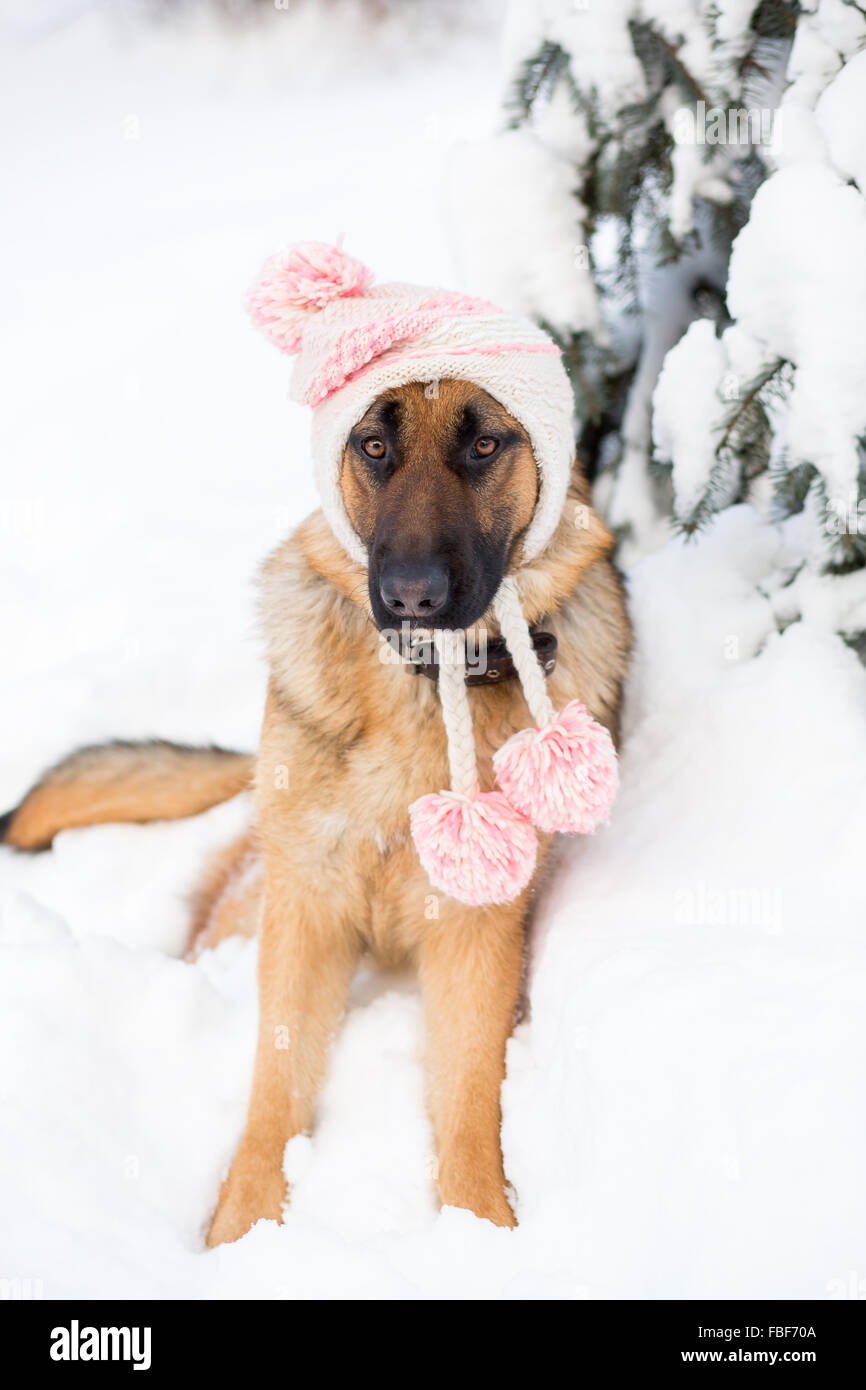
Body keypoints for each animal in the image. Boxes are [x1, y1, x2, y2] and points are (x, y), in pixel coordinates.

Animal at [3, 375, 633, 1245]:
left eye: (484, 445)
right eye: (373, 445)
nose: (412, 595)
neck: (422, 694)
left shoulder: (476, 933)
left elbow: (472, 1098)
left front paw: (478, 1228)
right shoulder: (307, 905)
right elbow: (276, 1083)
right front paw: (244, 1229)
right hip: (253, 896)